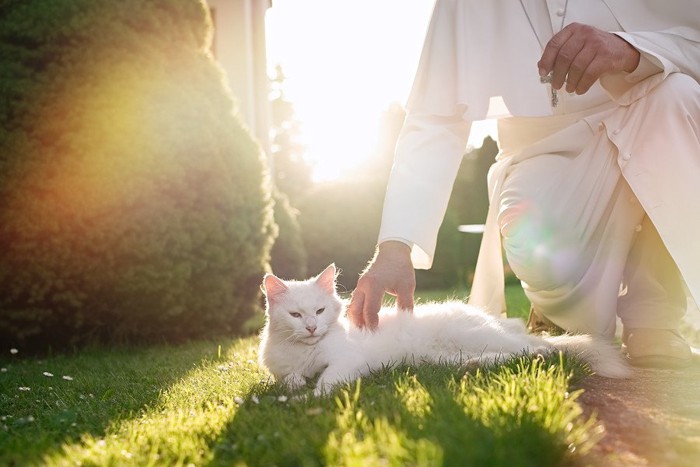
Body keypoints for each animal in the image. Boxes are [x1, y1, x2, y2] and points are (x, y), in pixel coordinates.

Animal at [260, 264, 632, 394]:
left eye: (320, 311)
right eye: (295, 315)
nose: (311, 328)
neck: (306, 350)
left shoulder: (346, 362)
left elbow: (325, 381)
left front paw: (304, 398)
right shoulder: (284, 368)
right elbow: (290, 378)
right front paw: (296, 387)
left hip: (474, 335)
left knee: (537, 349)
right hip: (443, 357)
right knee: (507, 356)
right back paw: (473, 366)